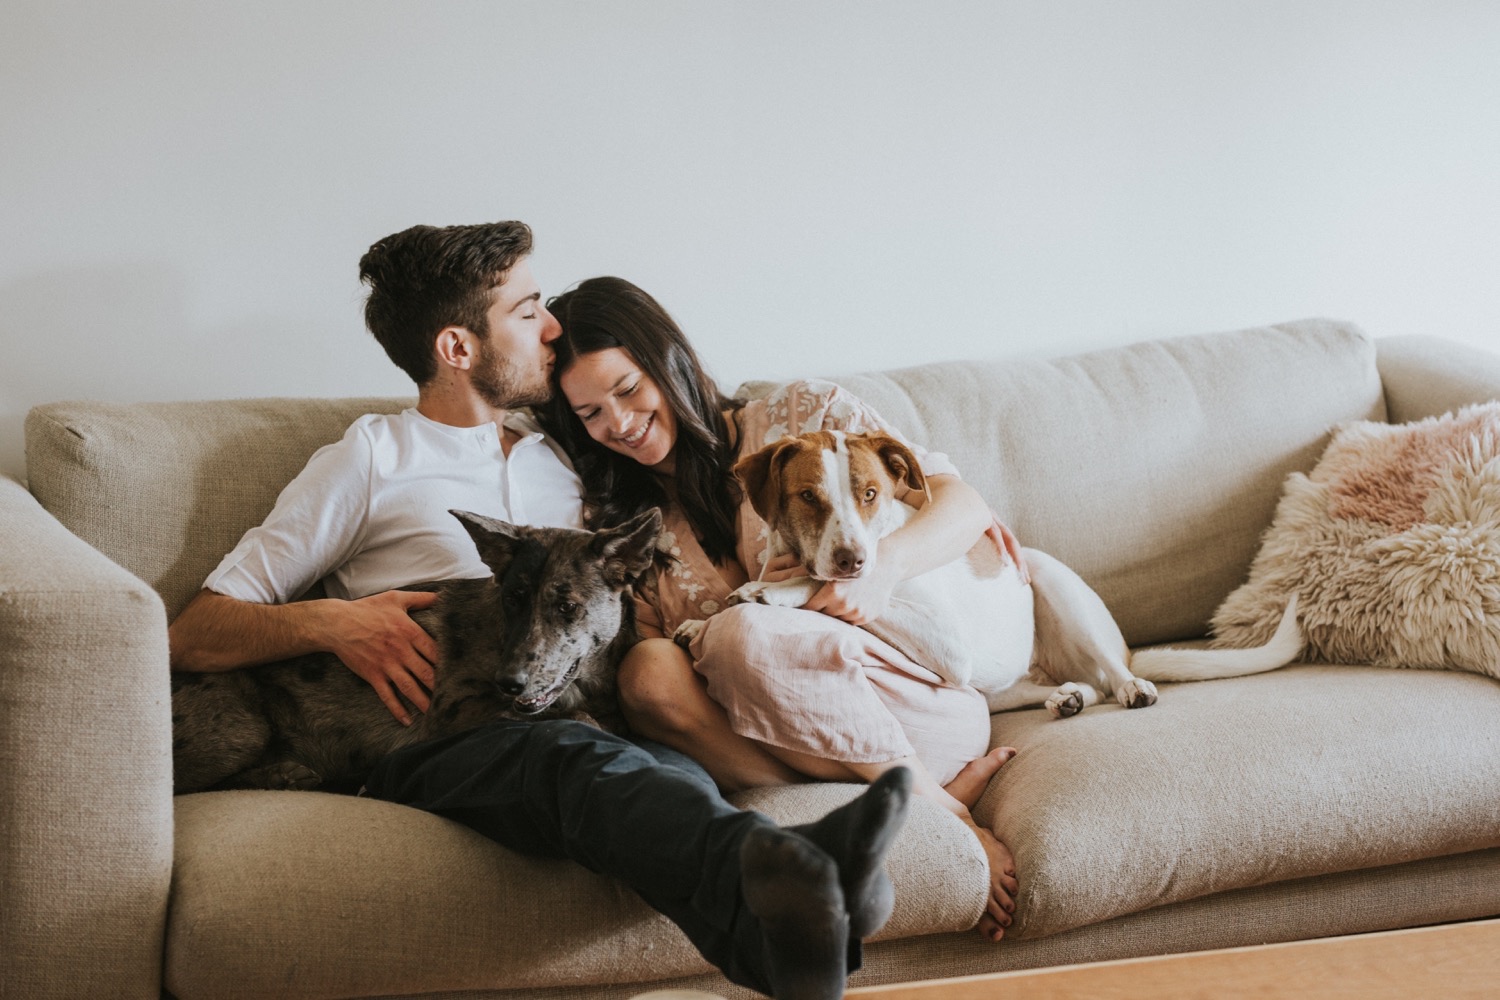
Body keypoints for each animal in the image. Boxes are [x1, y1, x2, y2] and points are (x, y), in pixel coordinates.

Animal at [167, 512, 660, 791]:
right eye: (512, 599)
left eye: (567, 606)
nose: (509, 682)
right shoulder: (454, 715)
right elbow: (581, 718)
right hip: (241, 730)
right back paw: (281, 776)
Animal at [702, 431, 1302, 719]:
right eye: (808, 497)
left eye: (871, 494)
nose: (854, 559)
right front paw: (700, 621)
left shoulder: (945, 640)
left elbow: (826, 586)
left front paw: (771, 591)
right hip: (996, 690)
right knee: (1086, 687)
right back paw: (1069, 697)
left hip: (1049, 579)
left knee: (1114, 677)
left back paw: (1133, 687)